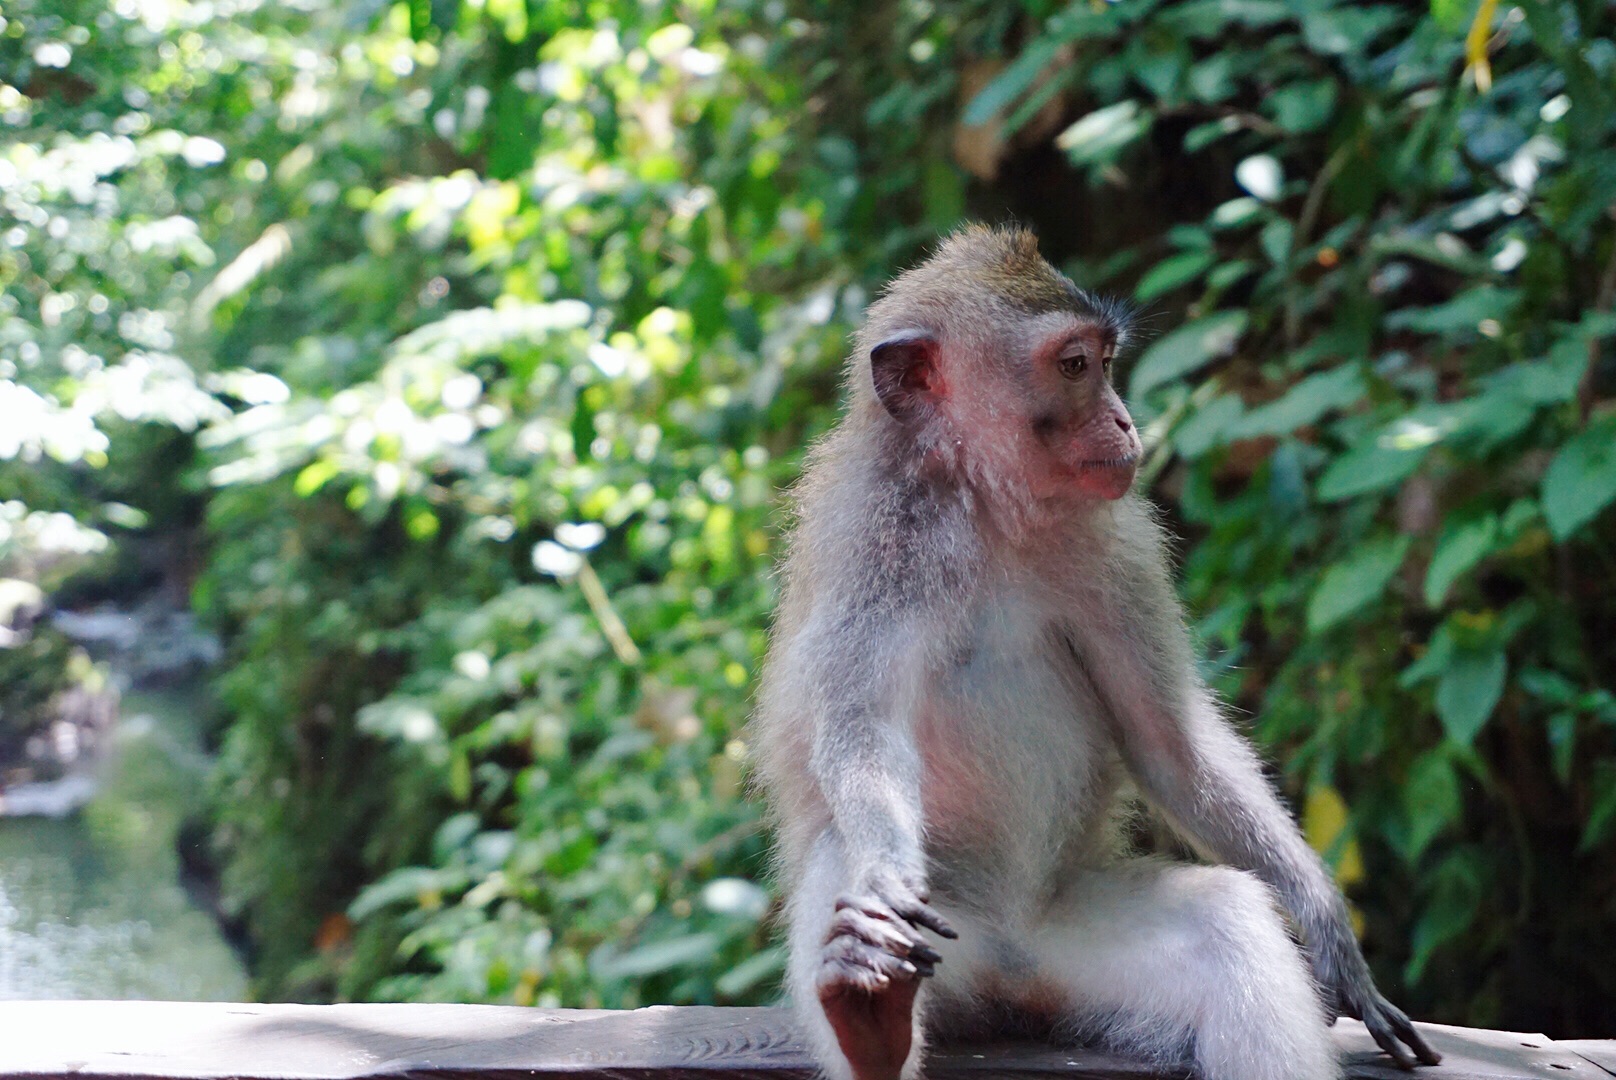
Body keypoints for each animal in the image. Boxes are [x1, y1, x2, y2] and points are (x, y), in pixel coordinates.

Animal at [746, 226, 1441, 1080]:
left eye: (1105, 361)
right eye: (1075, 365)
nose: (1124, 420)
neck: (982, 506)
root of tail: (1017, 973)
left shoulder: (1119, 549)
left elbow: (1166, 741)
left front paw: (1326, 921)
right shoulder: (872, 543)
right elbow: (861, 734)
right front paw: (882, 875)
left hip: (1070, 942)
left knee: (1227, 923)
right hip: (954, 945)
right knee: (838, 858)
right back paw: (869, 1015)